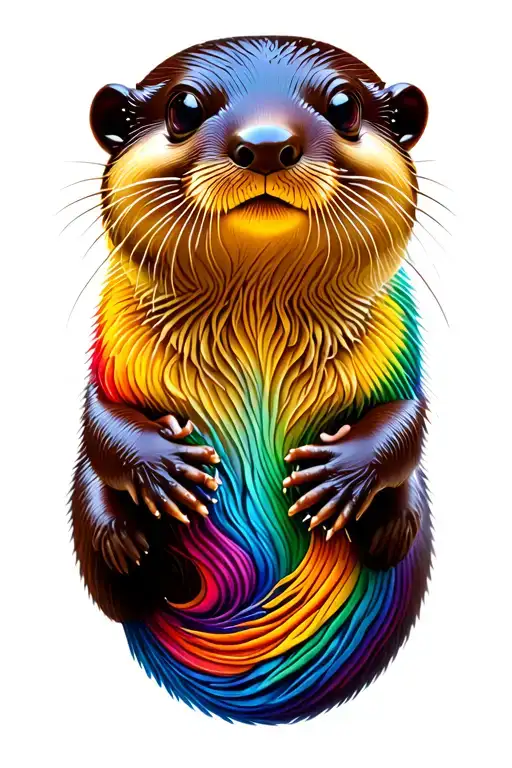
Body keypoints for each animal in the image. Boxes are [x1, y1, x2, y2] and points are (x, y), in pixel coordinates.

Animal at [71, 36, 432, 724]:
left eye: (344, 105)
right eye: (184, 107)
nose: (266, 144)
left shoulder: (401, 346)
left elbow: (409, 419)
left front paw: (339, 476)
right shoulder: (111, 345)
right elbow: (99, 419)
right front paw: (164, 467)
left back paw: (384, 524)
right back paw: (127, 542)